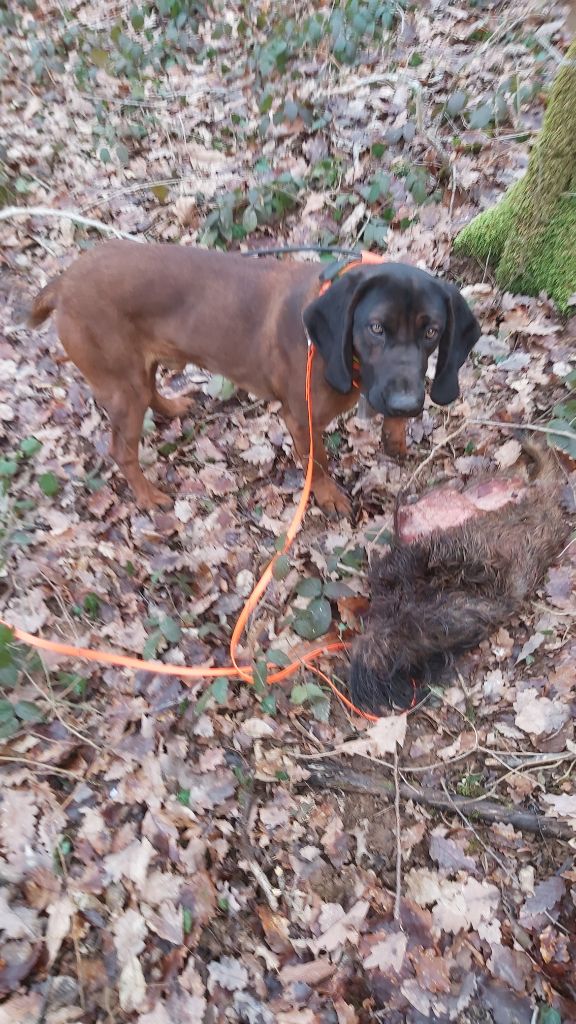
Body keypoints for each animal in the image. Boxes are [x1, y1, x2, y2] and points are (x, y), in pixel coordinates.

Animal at [29, 238, 477, 512]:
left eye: (432, 331)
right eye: (376, 327)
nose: (407, 404)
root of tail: (63, 283)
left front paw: (397, 438)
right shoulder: (301, 418)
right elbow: (318, 461)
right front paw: (328, 495)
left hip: (138, 371)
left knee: (150, 388)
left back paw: (172, 407)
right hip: (121, 386)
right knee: (121, 449)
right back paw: (149, 496)